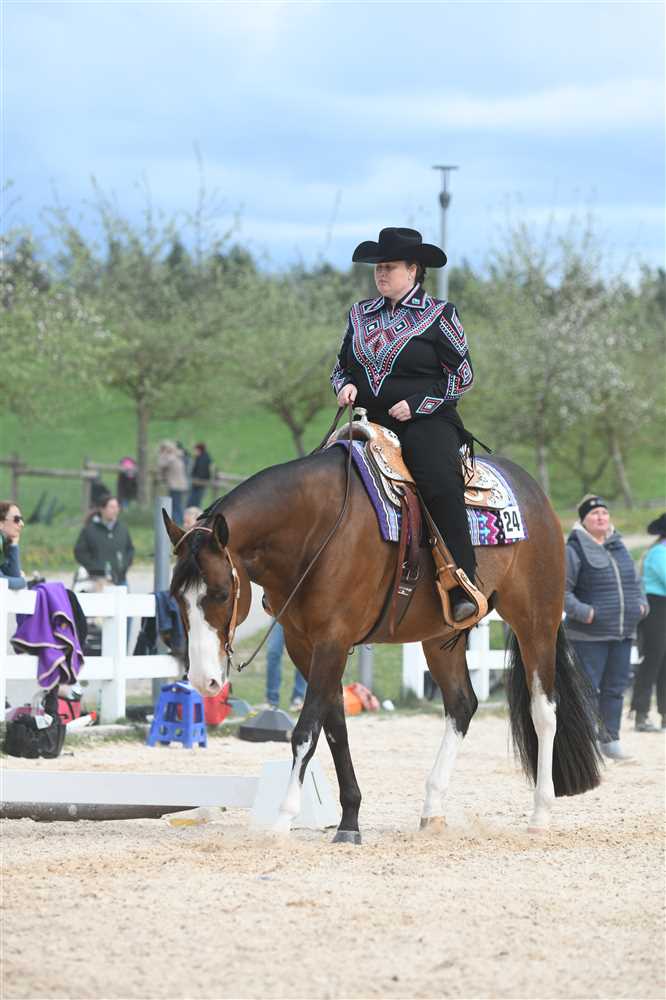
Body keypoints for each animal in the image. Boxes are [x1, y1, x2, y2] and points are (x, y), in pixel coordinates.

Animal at [164, 444, 601, 843]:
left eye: (221, 593)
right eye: (175, 597)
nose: (203, 681)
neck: (315, 528)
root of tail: (533, 492)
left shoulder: (332, 640)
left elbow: (305, 731)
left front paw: (283, 819)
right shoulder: (304, 645)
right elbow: (335, 728)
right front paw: (349, 822)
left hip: (536, 621)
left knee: (543, 711)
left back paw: (540, 814)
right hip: (439, 637)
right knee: (462, 704)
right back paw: (432, 809)